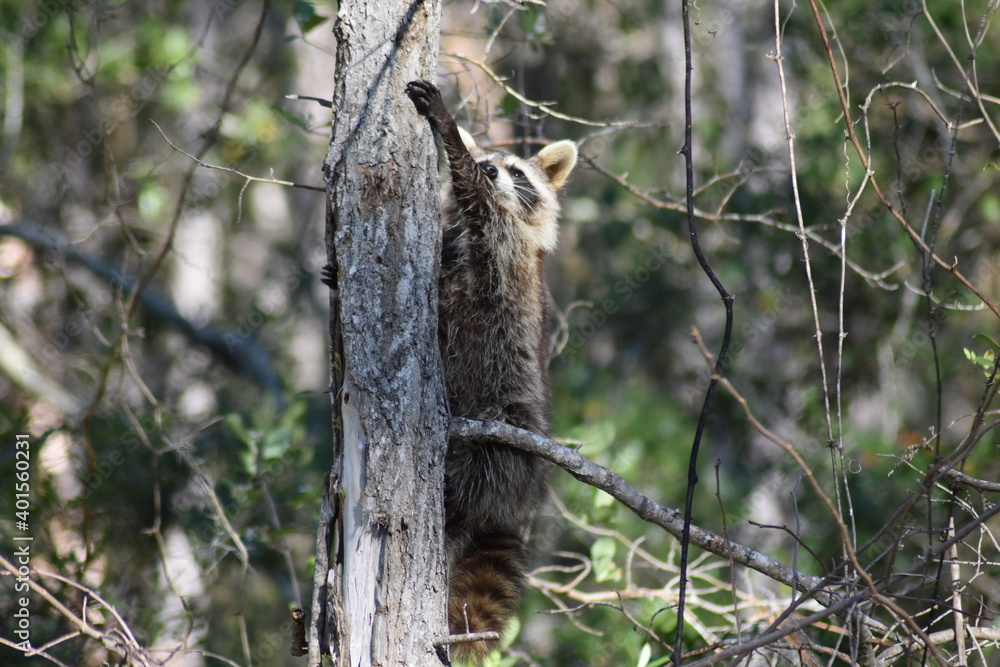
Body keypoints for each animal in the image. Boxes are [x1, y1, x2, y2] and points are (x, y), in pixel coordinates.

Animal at [405, 80, 577, 662]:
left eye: (517, 171)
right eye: (491, 160)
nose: (490, 169)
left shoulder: (501, 239)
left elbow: (476, 199)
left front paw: (447, 130)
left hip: (505, 434)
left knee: (475, 475)